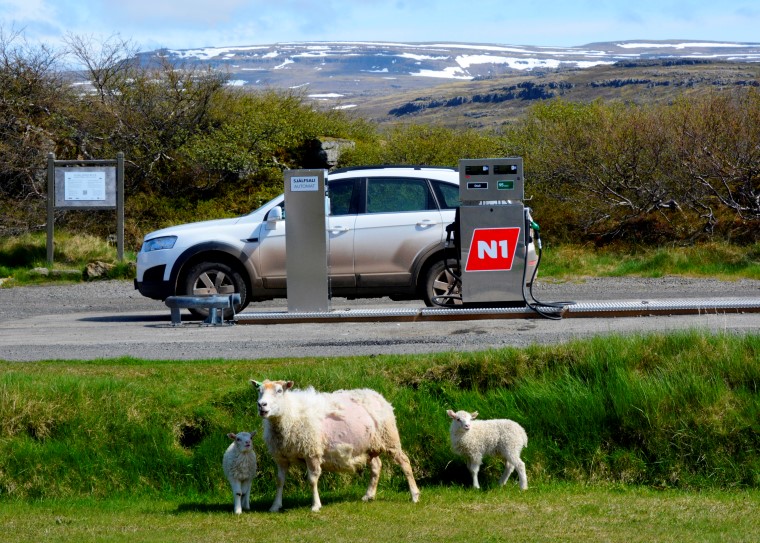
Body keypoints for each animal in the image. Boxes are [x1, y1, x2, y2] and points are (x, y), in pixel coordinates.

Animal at [254, 380, 422, 512]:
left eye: (279, 391)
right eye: (259, 391)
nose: (261, 405)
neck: (290, 414)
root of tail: (377, 395)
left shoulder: (312, 452)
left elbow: (312, 480)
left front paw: (315, 505)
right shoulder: (281, 457)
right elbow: (279, 481)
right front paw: (275, 506)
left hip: (389, 438)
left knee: (404, 462)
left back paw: (414, 495)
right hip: (368, 446)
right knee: (376, 466)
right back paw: (369, 495)